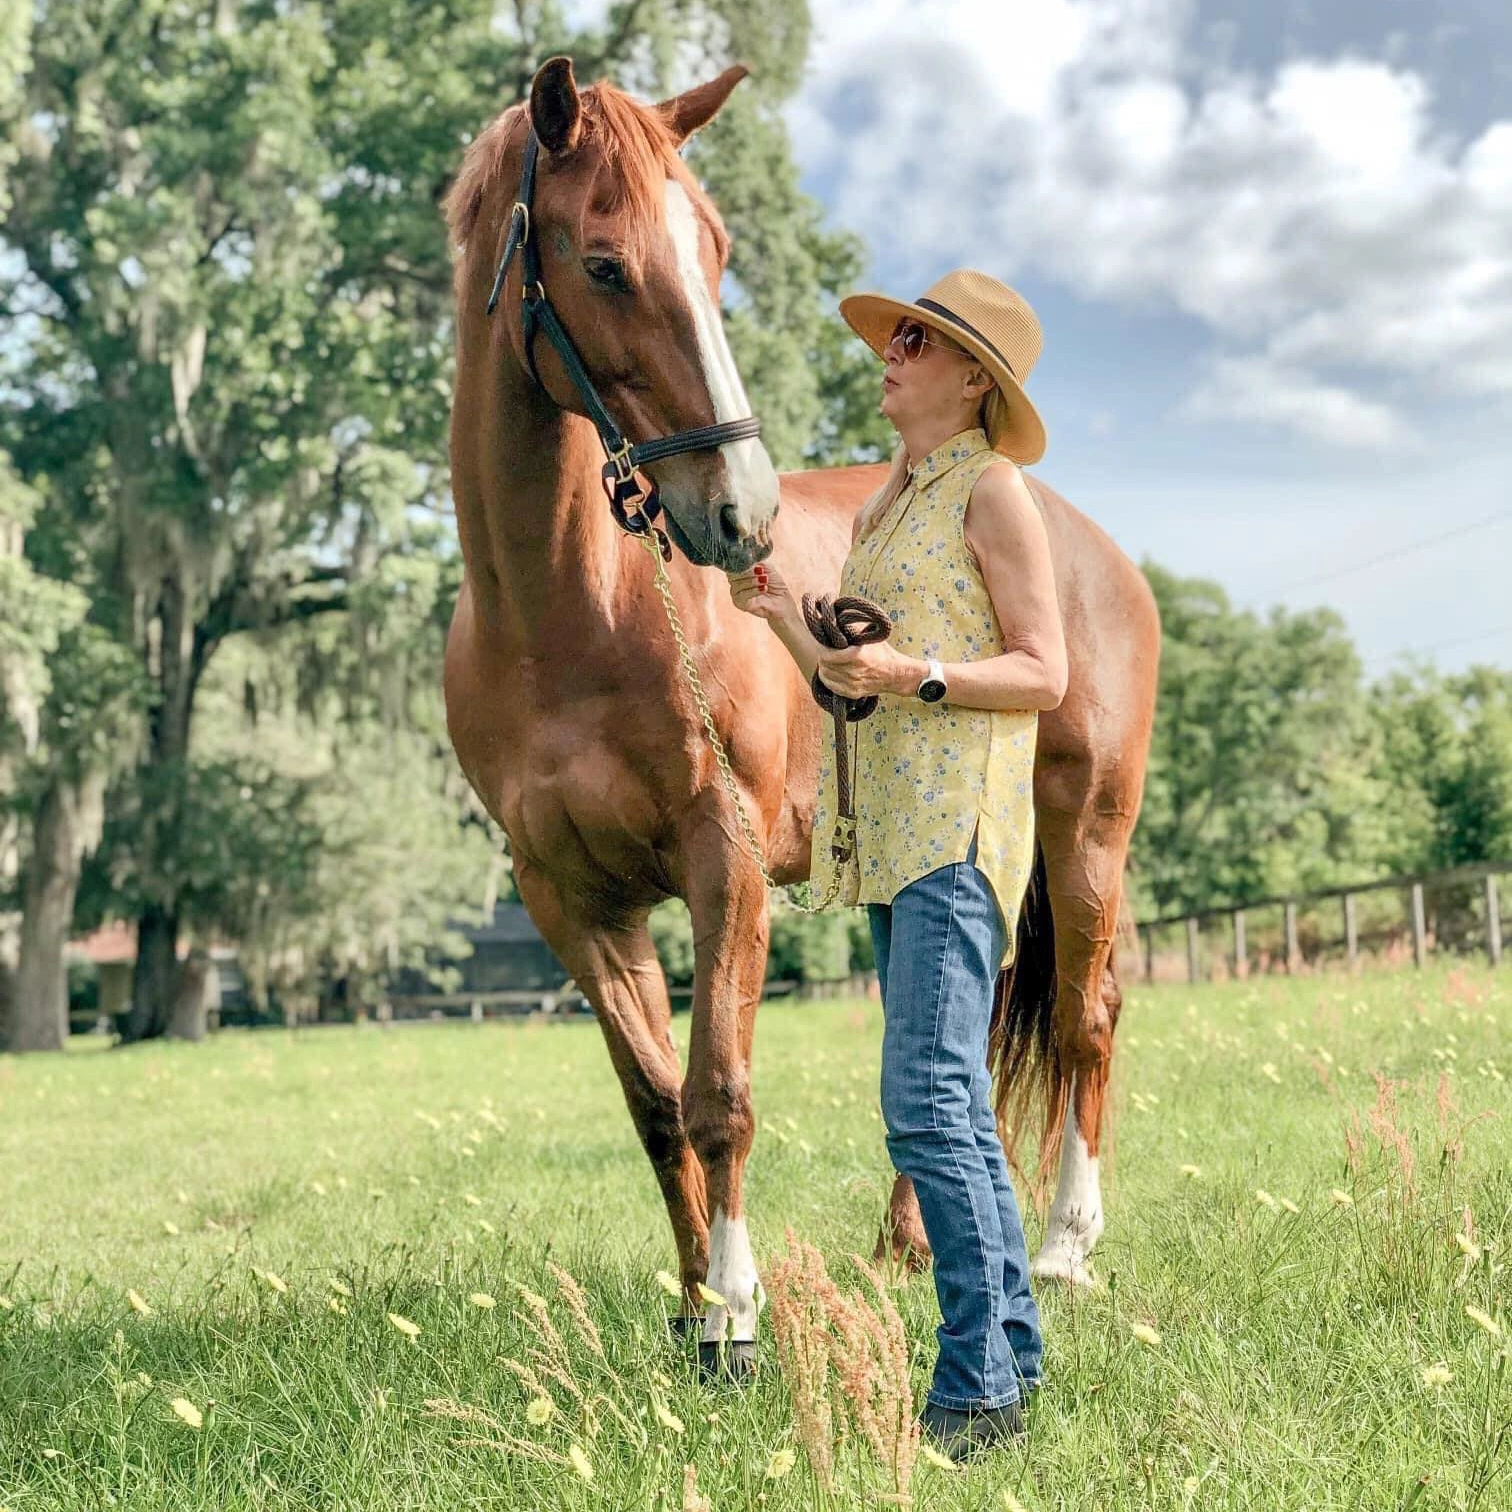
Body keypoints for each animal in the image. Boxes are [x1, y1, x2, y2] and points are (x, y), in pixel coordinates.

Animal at [441, 56, 1160, 1374]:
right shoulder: (569, 901)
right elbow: (655, 1104)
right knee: (953, 1042)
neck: (567, 616)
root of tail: (1085, 538)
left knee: (1088, 1018)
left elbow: (720, 1096)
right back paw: (909, 1247)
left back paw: (1066, 1249)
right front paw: (687, 1305)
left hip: (1086, 830)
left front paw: (735, 1313)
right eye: (604, 263)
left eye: (716, 256)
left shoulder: (722, 862)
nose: (744, 515)